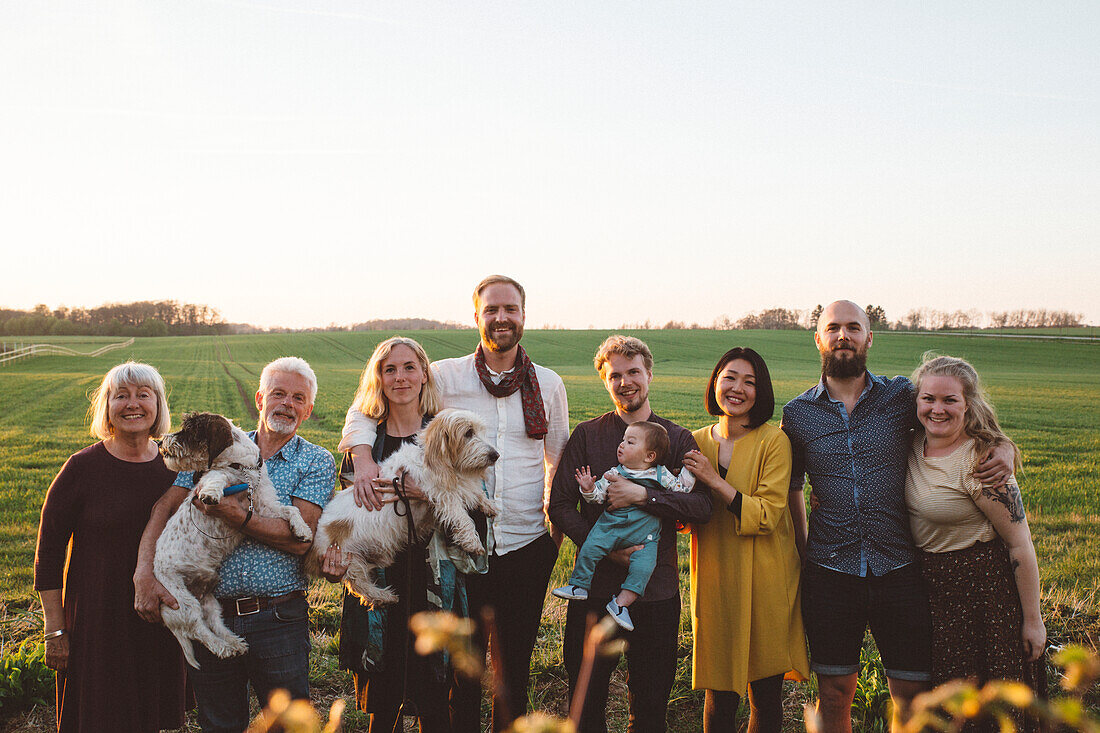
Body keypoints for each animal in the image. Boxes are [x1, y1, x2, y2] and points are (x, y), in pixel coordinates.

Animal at [154, 411, 314, 669]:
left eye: (189, 430)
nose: (160, 443)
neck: (241, 466)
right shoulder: (218, 478)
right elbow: (216, 476)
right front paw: (211, 493)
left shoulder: (262, 507)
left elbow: (291, 509)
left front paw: (303, 530)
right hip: (182, 600)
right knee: (198, 631)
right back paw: (224, 648)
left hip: (209, 601)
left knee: (214, 624)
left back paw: (234, 643)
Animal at [308, 405, 501, 603]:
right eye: (468, 433)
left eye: (480, 431)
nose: (495, 455)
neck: (428, 458)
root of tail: (312, 549)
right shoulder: (442, 495)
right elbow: (461, 516)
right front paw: (472, 542)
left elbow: (475, 493)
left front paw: (489, 505)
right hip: (346, 559)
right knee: (359, 584)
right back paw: (385, 596)